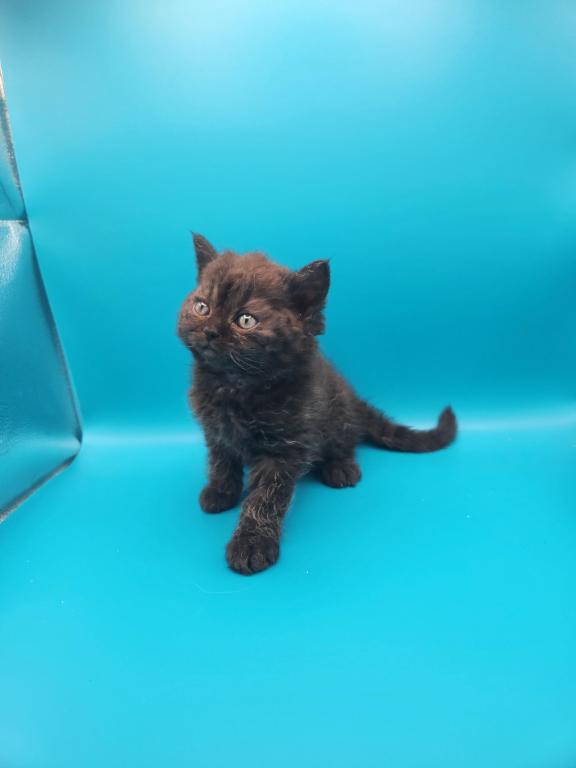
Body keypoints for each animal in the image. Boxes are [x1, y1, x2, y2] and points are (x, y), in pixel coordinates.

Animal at [178, 234, 457, 575]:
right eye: (202, 306)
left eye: (245, 320)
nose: (210, 331)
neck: (235, 386)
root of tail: (352, 397)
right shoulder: (216, 431)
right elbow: (220, 461)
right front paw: (221, 492)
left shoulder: (285, 448)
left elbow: (264, 499)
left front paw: (252, 543)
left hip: (336, 416)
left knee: (346, 441)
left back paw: (342, 468)